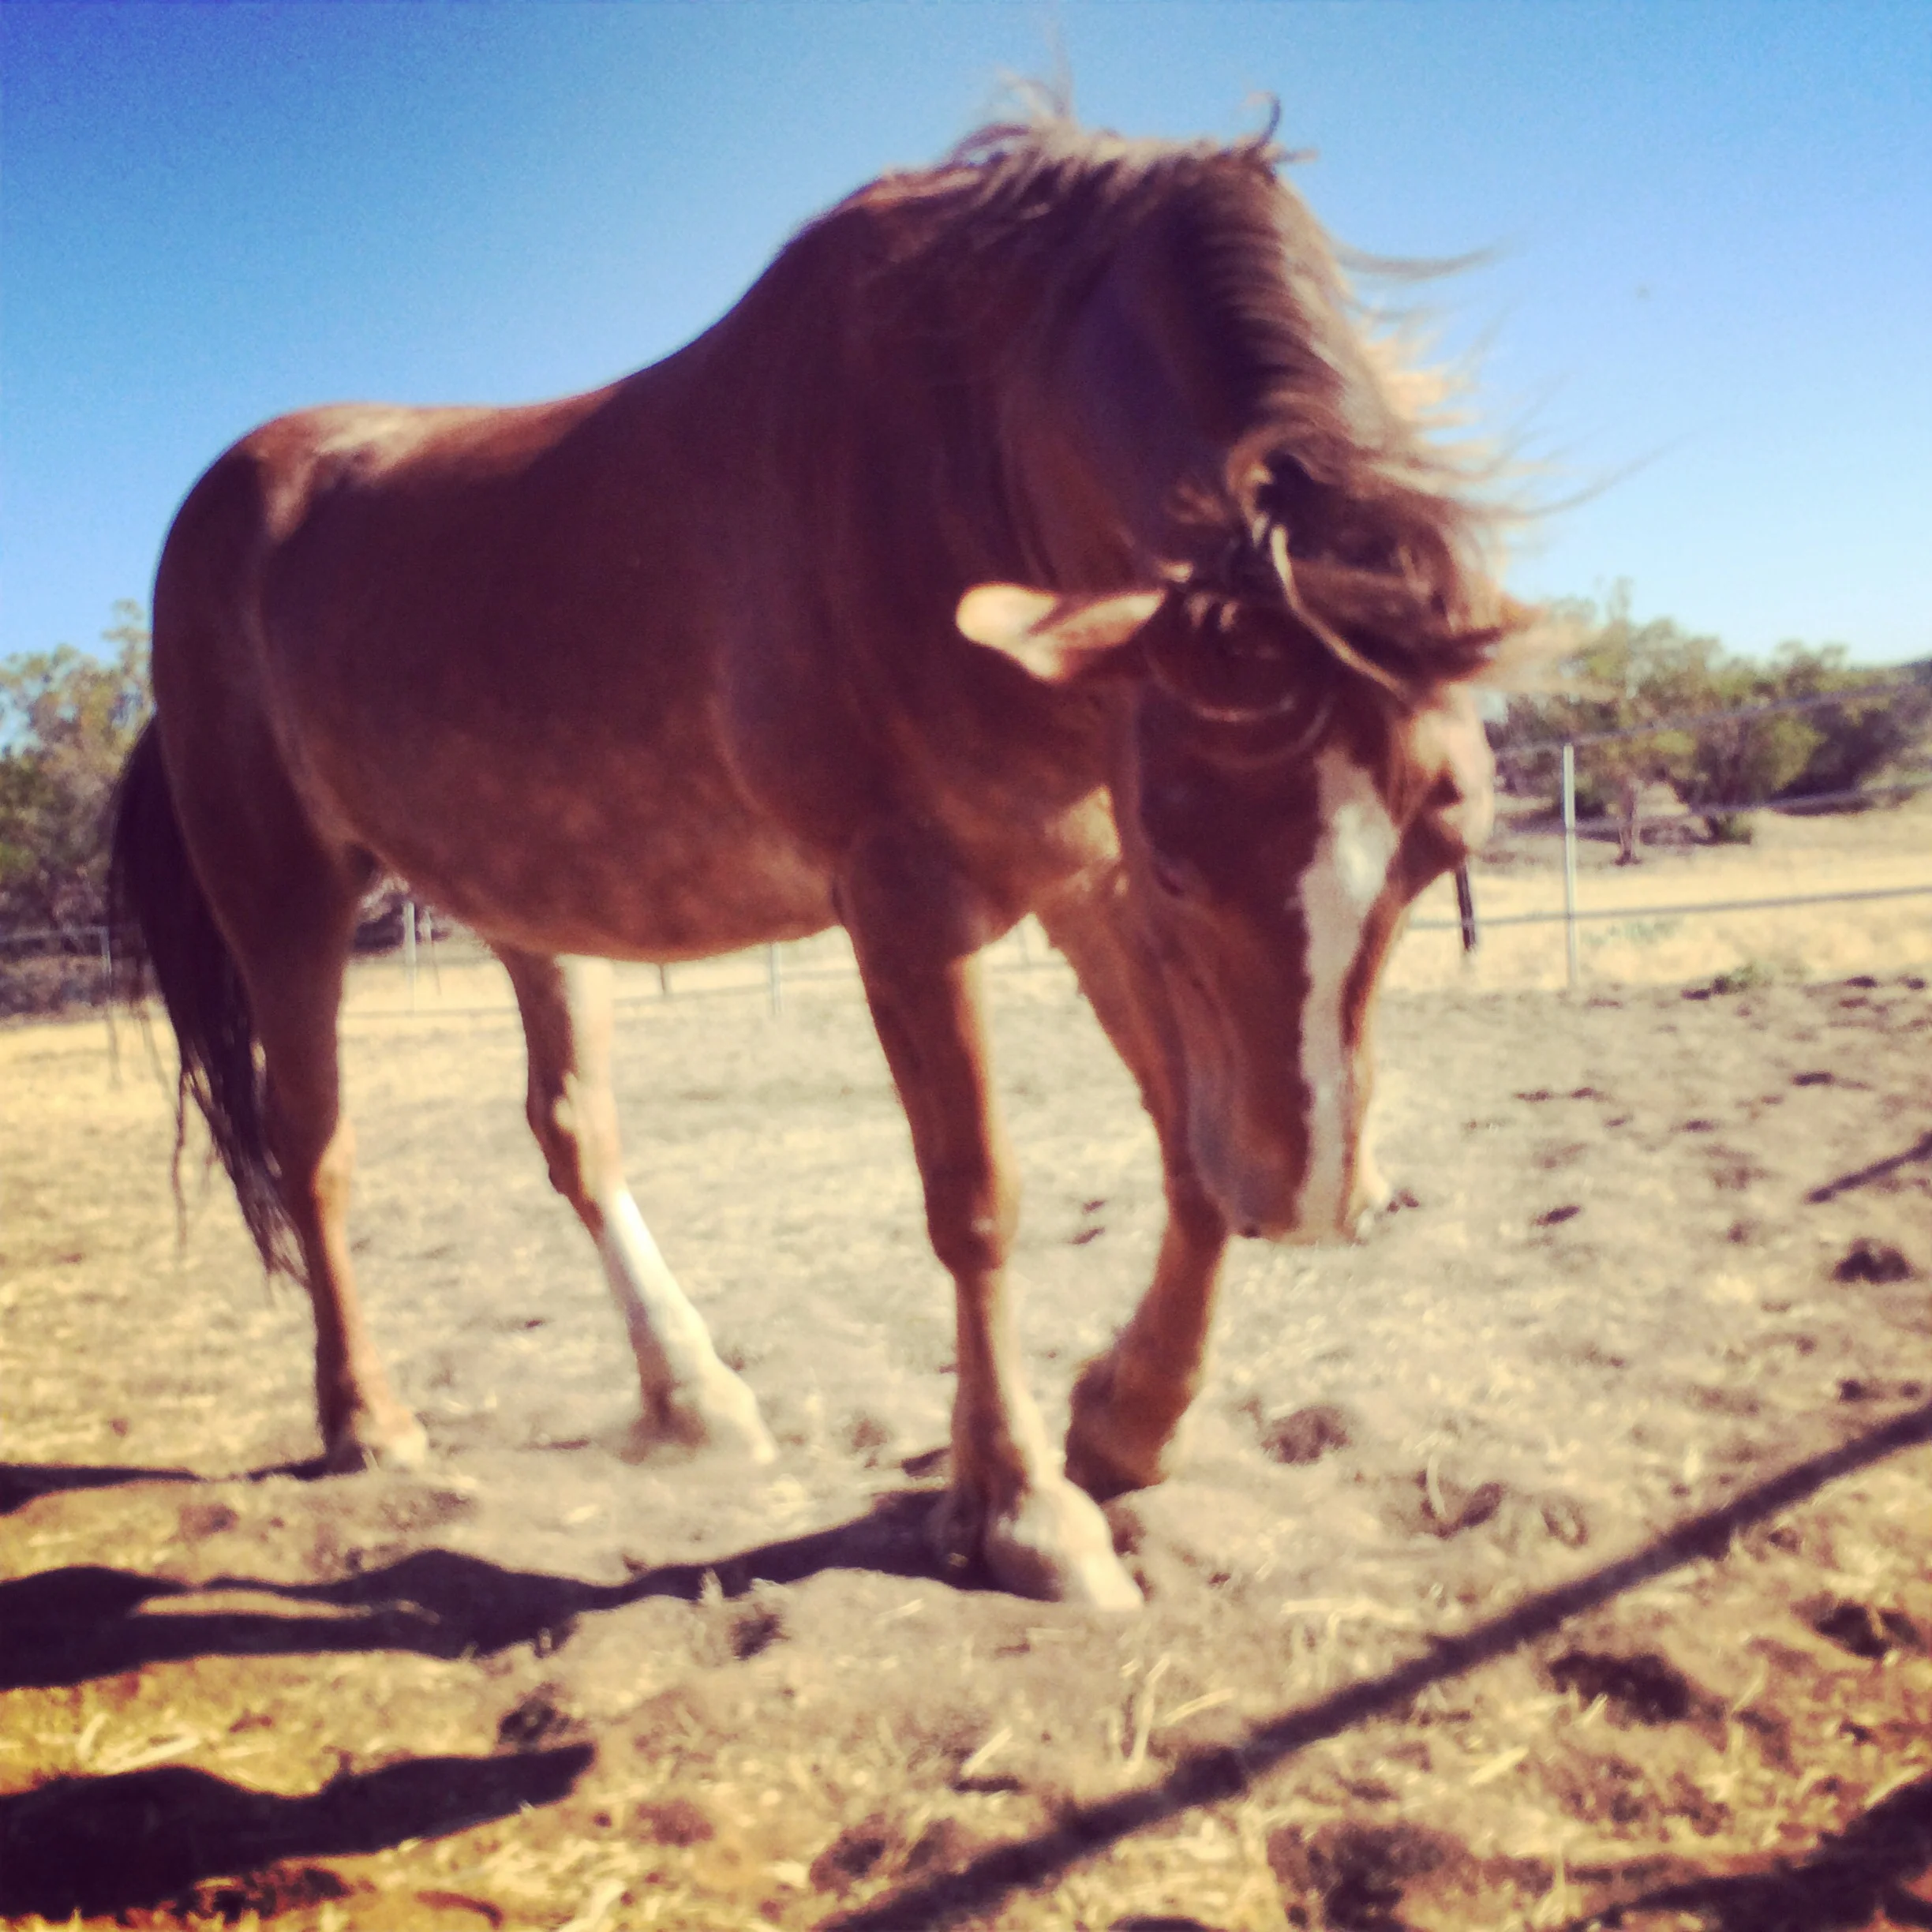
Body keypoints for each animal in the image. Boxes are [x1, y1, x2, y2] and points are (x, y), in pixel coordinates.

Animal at [111, 115, 1524, 1610]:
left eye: (1442, 841)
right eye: (1186, 859)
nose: (1308, 1199)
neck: (964, 446)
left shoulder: (1081, 881)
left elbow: (1180, 1154)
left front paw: (1125, 1422)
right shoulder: (912, 904)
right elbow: (976, 1203)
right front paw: (1023, 1511)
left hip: (530, 909)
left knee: (575, 1135)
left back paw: (694, 1402)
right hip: (284, 899)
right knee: (312, 1145)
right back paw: (369, 1418)